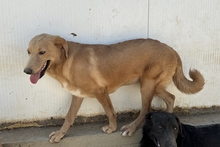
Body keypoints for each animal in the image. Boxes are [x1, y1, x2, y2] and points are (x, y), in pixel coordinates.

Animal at [23, 34, 205, 143]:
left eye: (42, 52)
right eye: (28, 52)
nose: (26, 71)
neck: (66, 61)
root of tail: (172, 50)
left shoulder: (101, 92)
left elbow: (110, 112)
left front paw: (112, 128)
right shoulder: (77, 95)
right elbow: (69, 117)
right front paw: (60, 134)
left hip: (147, 85)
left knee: (146, 109)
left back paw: (131, 128)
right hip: (154, 85)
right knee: (171, 98)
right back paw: (168, 119)